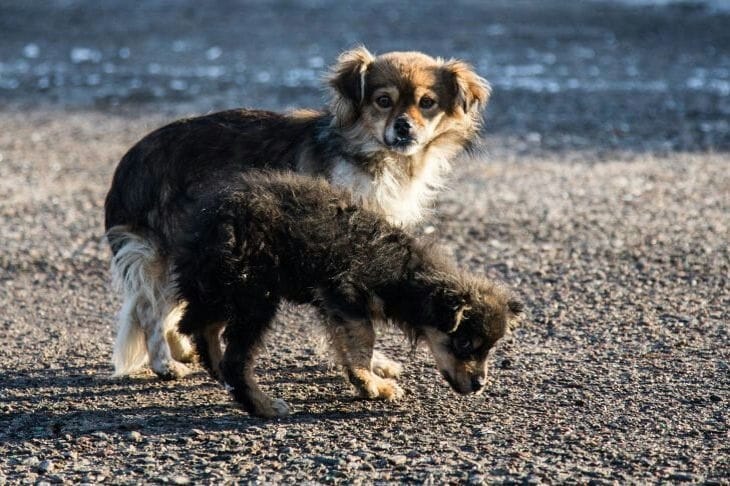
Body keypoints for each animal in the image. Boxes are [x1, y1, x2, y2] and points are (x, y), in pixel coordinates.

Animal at [104, 45, 490, 380]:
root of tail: (127, 166)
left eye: (427, 103)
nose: (404, 127)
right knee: (149, 309)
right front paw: (369, 364)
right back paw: (164, 364)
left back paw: (183, 349)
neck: (371, 157)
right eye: (383, 101)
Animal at [173, 172, 520, 418]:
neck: (402, 269)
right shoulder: (347, 296)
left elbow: (345, 345)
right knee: (235, 359)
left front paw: (365, 383)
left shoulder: (334, 306)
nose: (480, 385)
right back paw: (263, 406)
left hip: (225, 290)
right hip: (254, 296)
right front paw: (373, 385)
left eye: (490, 349)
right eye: (465, 344)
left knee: (203, 331)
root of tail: (208, 225)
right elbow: (364, 342)